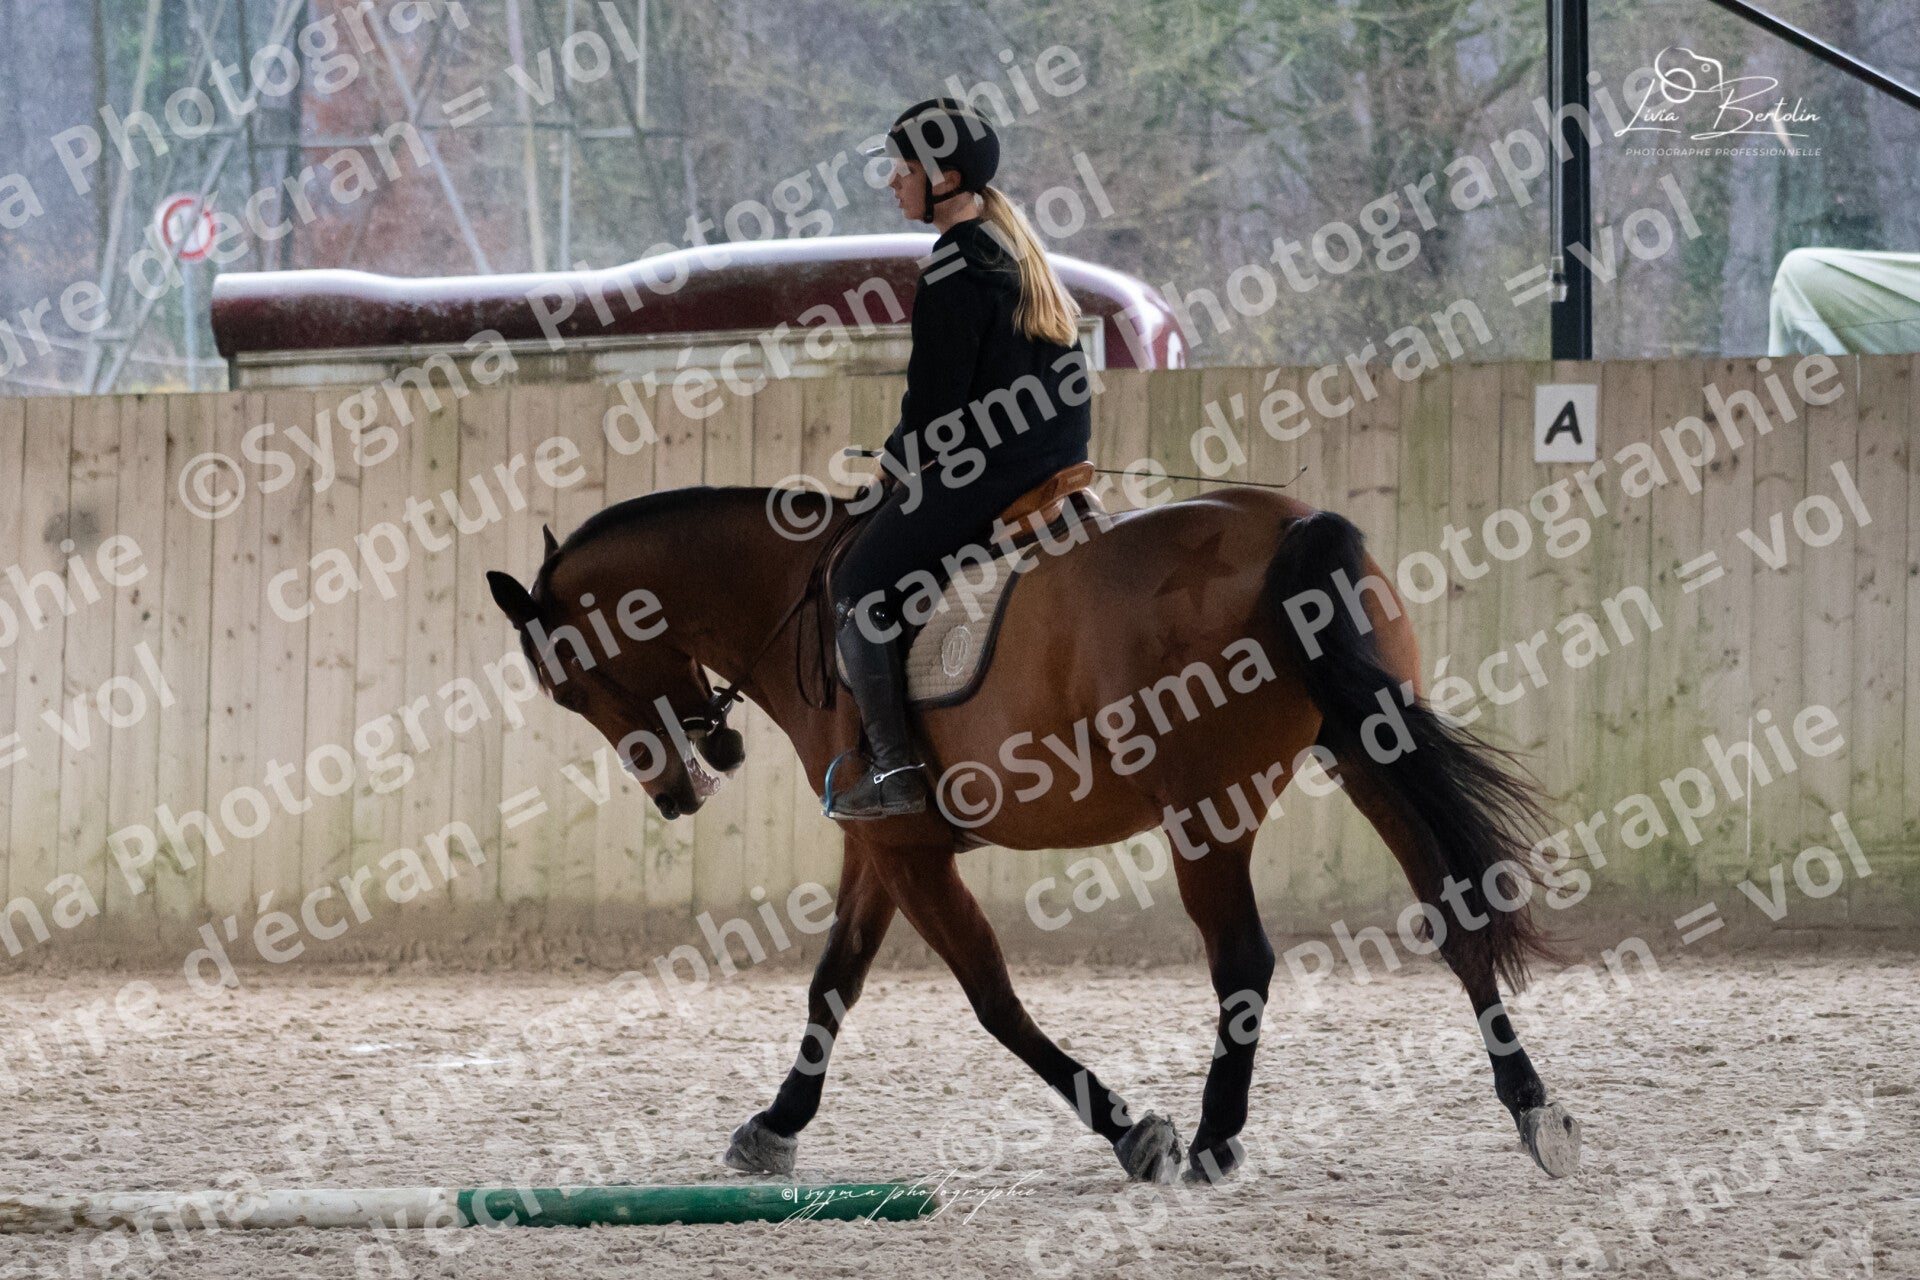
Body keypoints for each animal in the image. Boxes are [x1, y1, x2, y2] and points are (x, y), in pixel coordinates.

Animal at [485, 479, 1583, 1185]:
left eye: (571, 680)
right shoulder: (881, 847)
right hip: (1366, 749)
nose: (682, 789)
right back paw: (1533, 1106)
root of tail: (1292, 525)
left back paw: (1213, 1140)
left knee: (1244, 958)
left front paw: (1132, 1130)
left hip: (1206, 810)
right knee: (1455, 913)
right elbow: (833, 980)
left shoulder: (907, 850)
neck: (794, 593)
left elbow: (990, 997)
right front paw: (775, 1124)